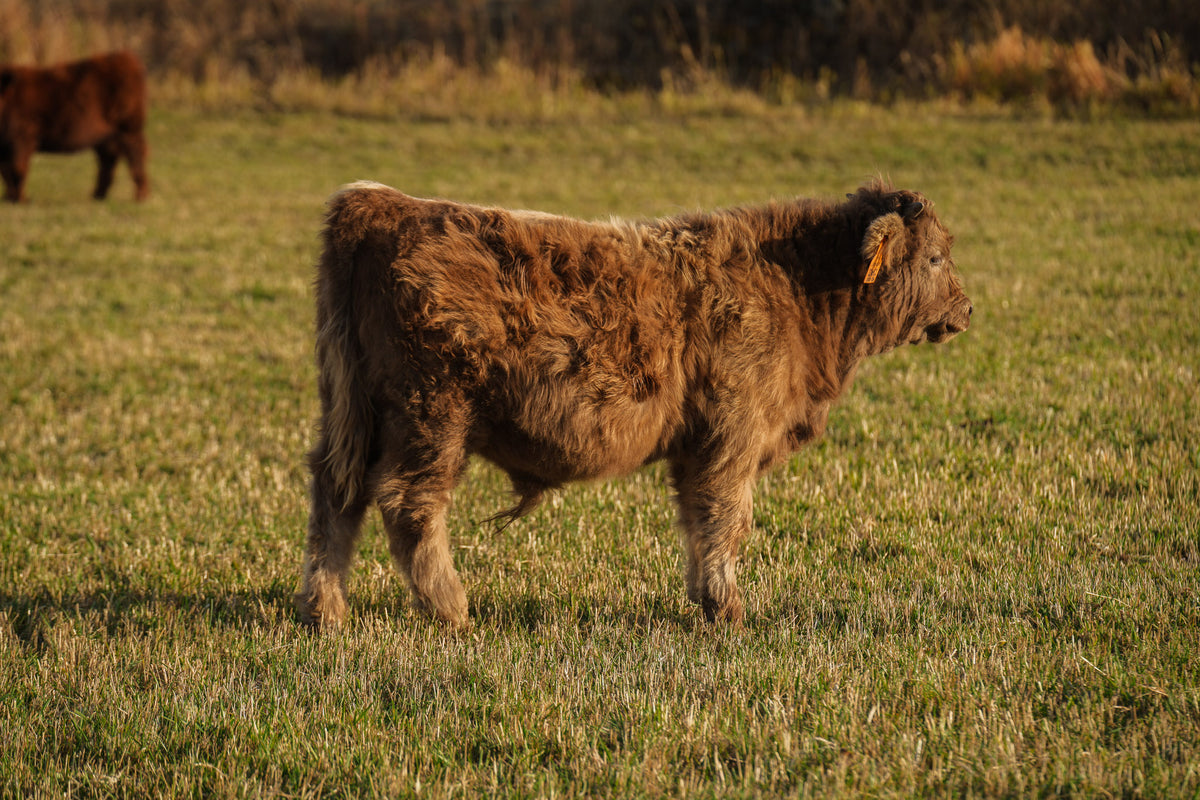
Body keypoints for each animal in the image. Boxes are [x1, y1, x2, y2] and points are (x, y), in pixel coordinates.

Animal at [0, 50, 149, 203]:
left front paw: (21, 199)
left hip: (129, 129)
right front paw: (9, 197)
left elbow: (17, 169)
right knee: (108, 162)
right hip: (106, 137)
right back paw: (97, 196)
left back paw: (141, 196)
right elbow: (6, 172)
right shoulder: (5, 146)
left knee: (136, 155)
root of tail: (127, 58)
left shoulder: (22, 138)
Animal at [297, 179, 972, 630]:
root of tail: (384, 202)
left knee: (335, 492)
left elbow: (699, 520)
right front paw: (727, 608)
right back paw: (450, 608)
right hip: (431, 413)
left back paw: (323, 610)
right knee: (408, 502)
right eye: (936, 256)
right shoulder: (732, 434)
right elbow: (727, 517)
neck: (796, 288)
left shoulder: (697, 447)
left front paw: (706, 597)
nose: (967, 309)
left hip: (356, 413)